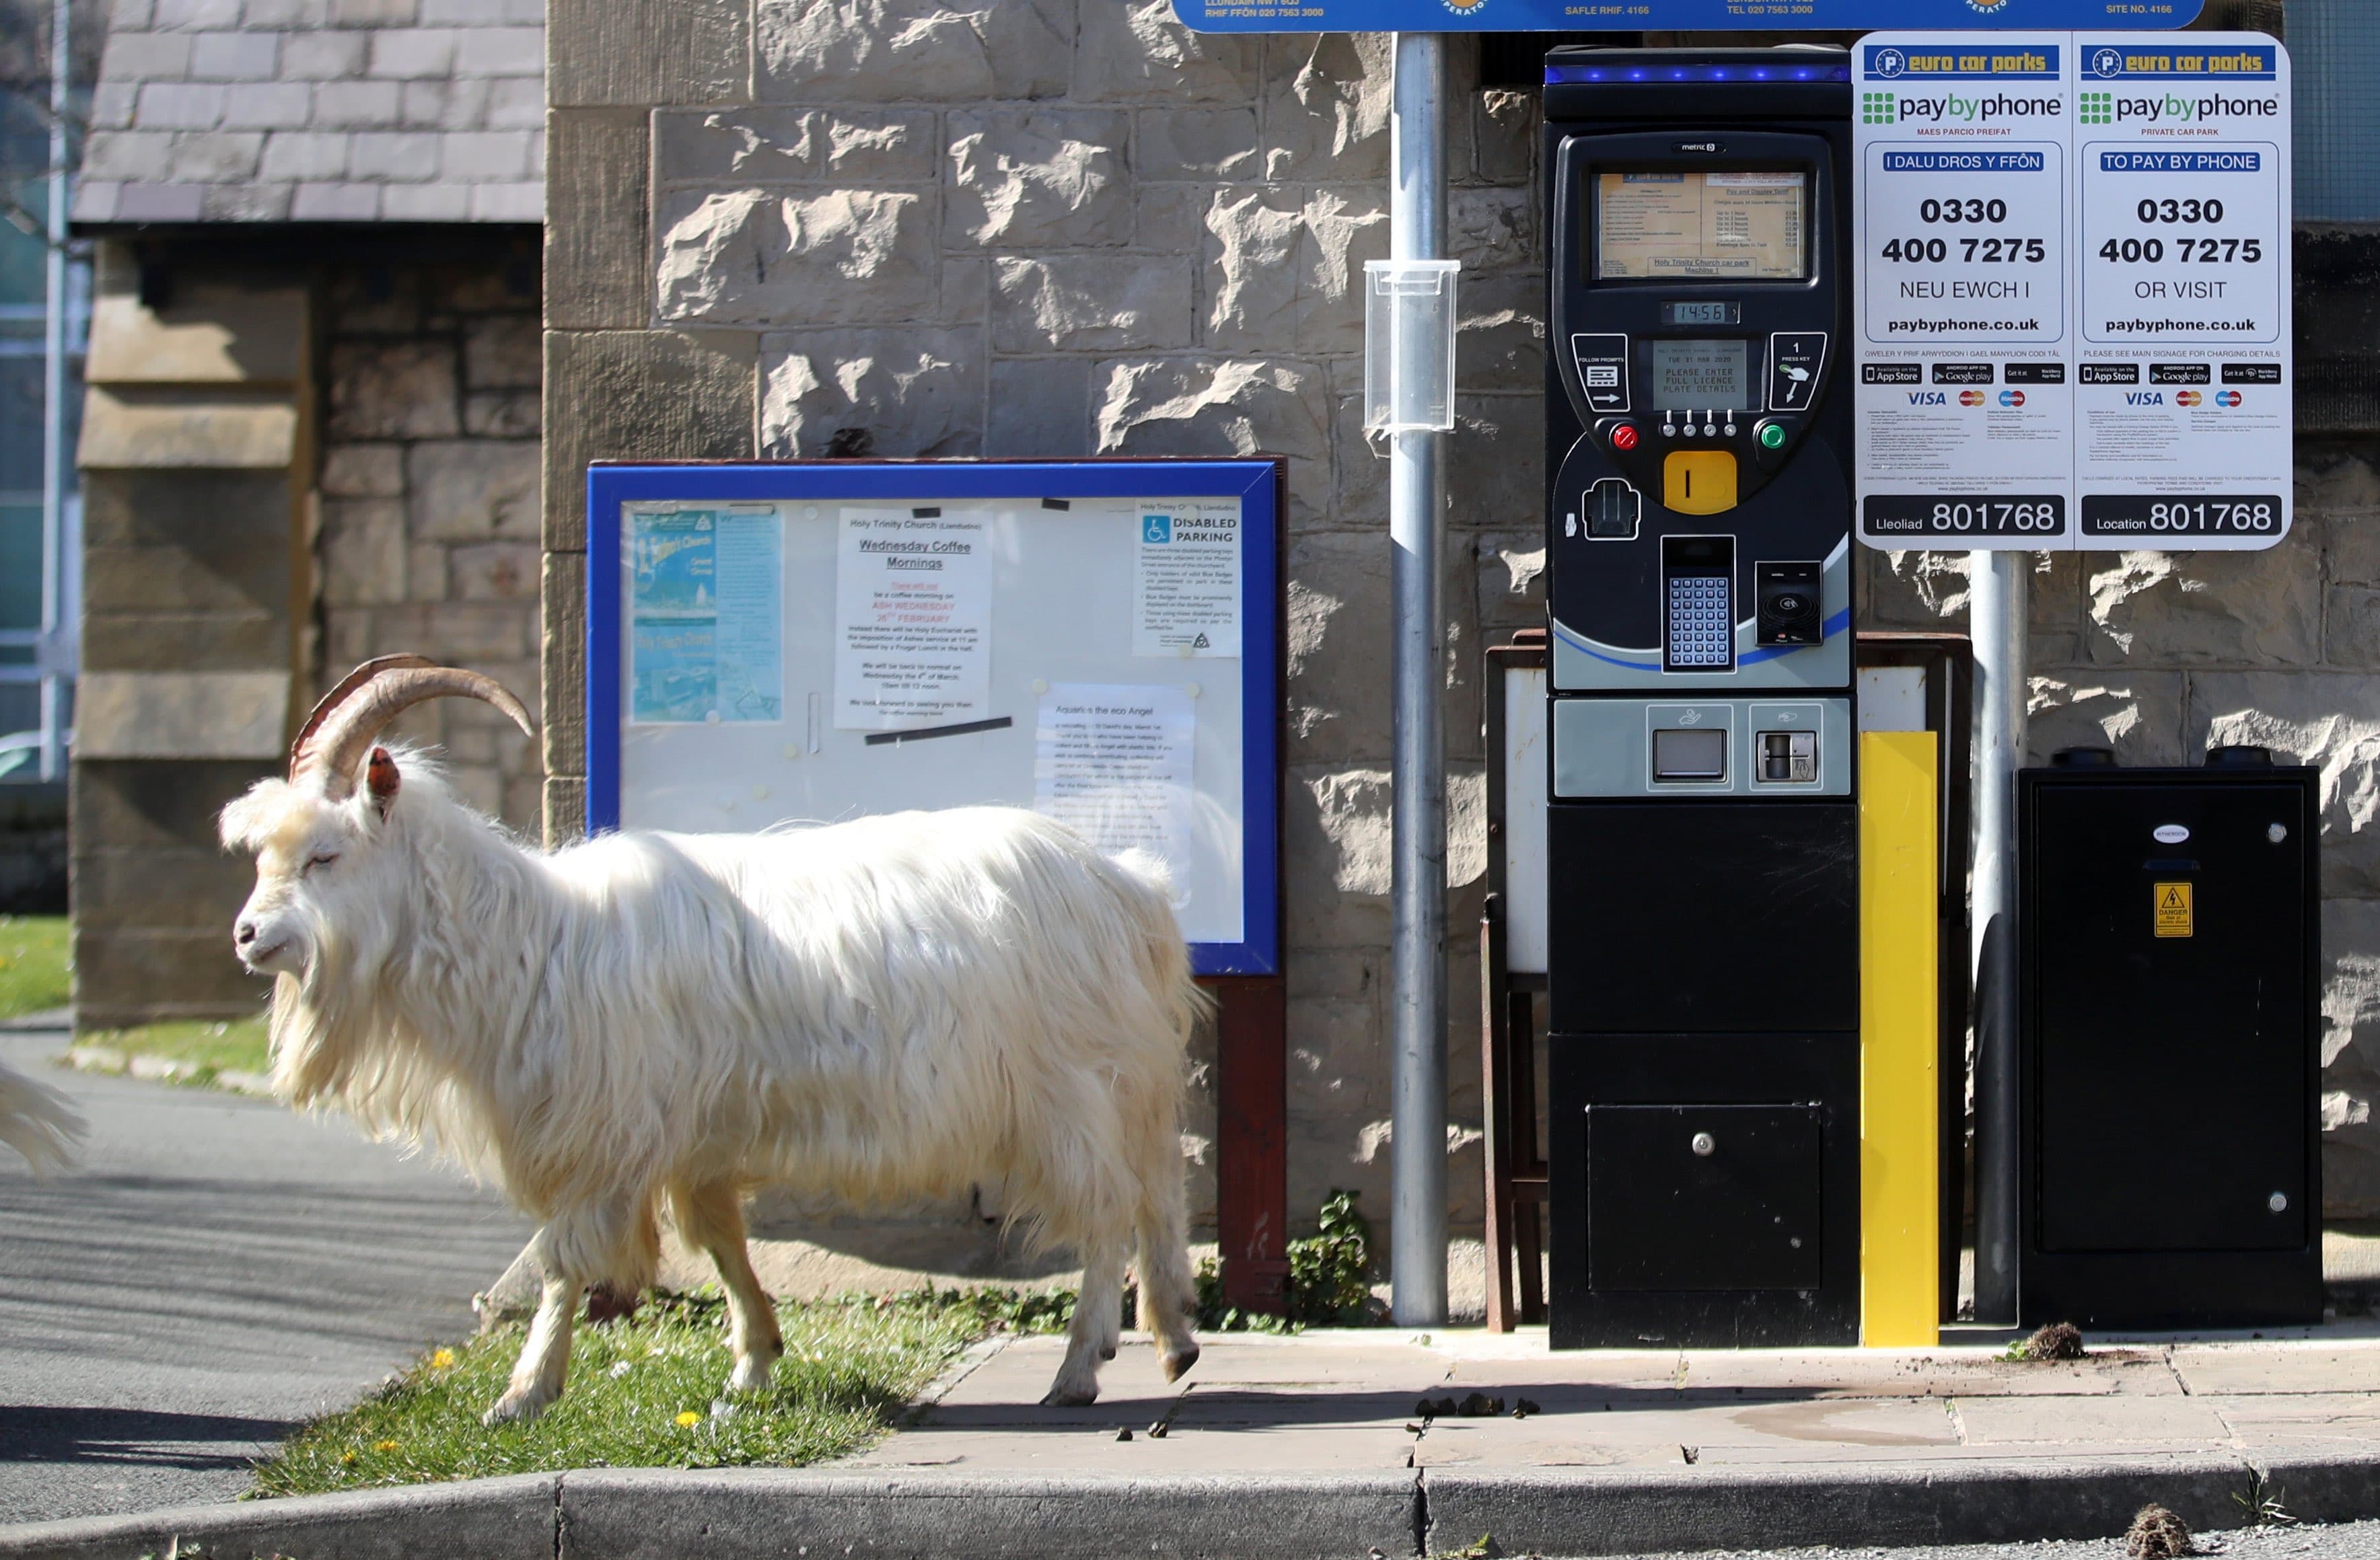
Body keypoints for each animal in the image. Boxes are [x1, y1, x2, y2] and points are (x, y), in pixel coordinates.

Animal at [221, 656, 1205, 1424]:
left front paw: (524, 1393)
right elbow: (721, 1241)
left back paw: (1078, 1368)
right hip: (1123, 1079)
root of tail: (1129, 886)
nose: (247, 934)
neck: (532, 938)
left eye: (325, 854)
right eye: (263, 856)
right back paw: (1173, 1338)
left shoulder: (607, 1133)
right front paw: (754, 1363)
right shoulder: (691, 1139)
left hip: (1065, 1090)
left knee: (1107, 1209)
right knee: (1156, 1187)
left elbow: (563, 1260)